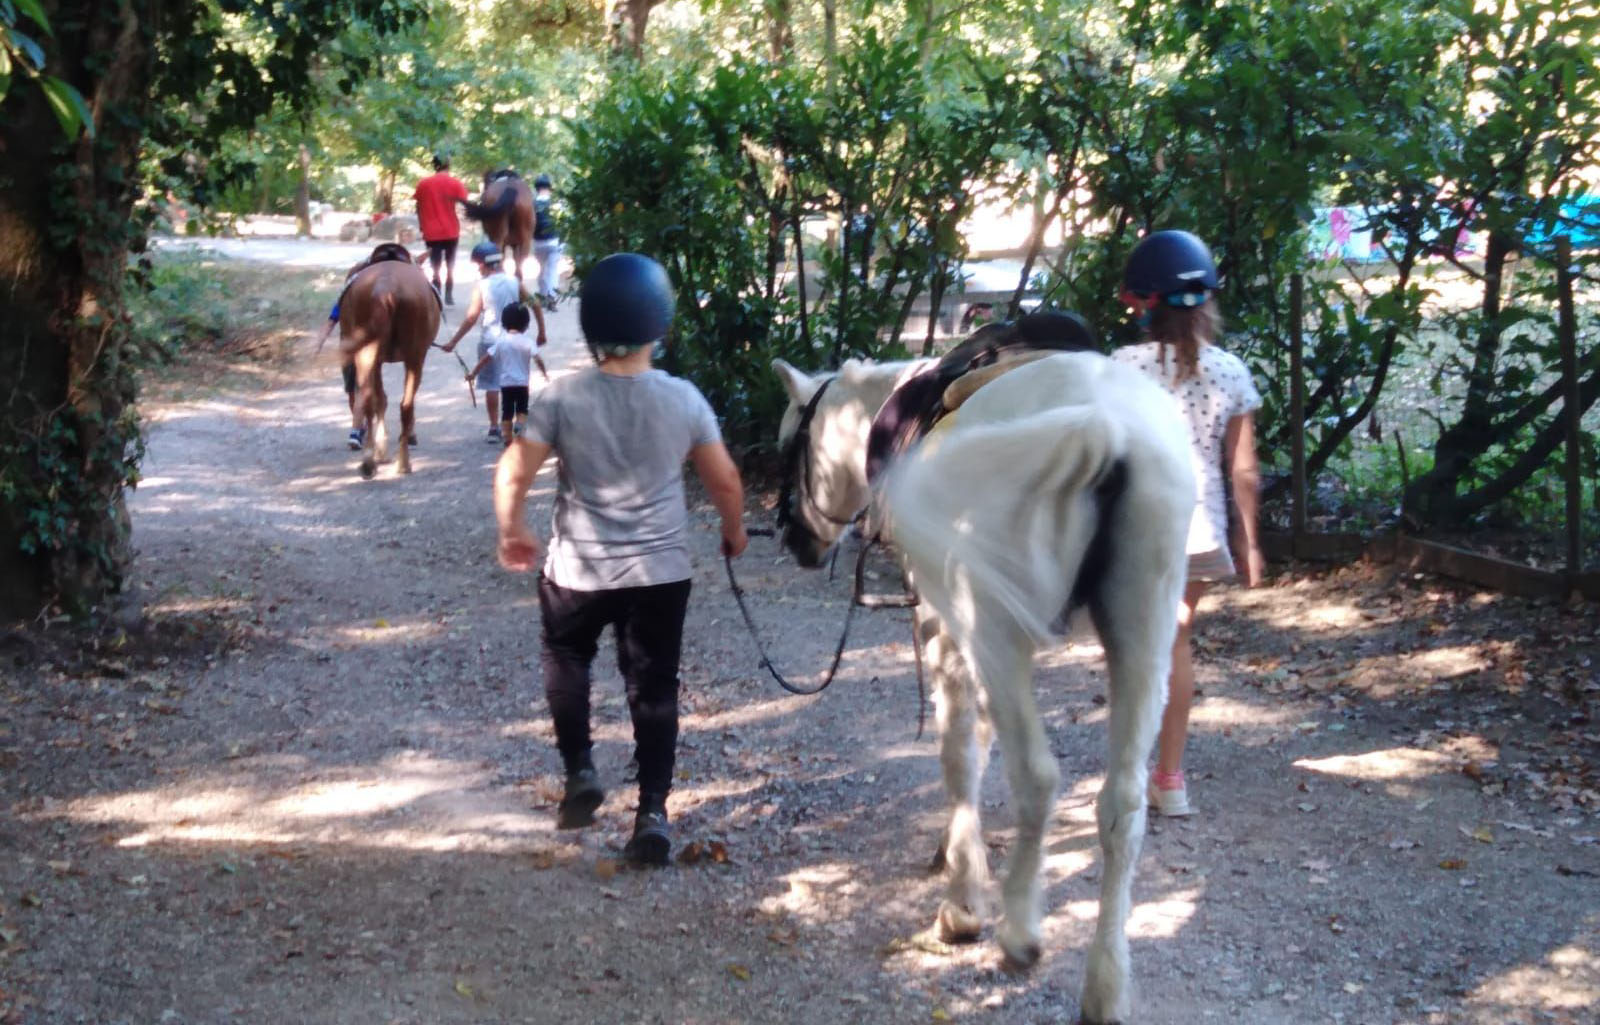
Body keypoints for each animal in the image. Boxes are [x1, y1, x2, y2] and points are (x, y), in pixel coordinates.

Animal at [336, 247, 438, 476]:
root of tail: (386, 288)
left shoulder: (377, 360)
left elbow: (380, 399)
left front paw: (381, 449)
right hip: (414, 356)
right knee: (406, 405)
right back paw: (403, 463)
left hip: (366, 353)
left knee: (367, 398)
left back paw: (368, 462)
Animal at [768, 353, 1196, 1023]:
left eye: (792, 444)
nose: (794, 538)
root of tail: (1105, 429)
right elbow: (983, 740)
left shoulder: (945, 626)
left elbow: (959, 751)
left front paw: (963, 900)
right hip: (1143, 636)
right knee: (1122, 806)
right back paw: (1105, 984)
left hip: (996, 627)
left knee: (1038, 778)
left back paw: (1019, 930)